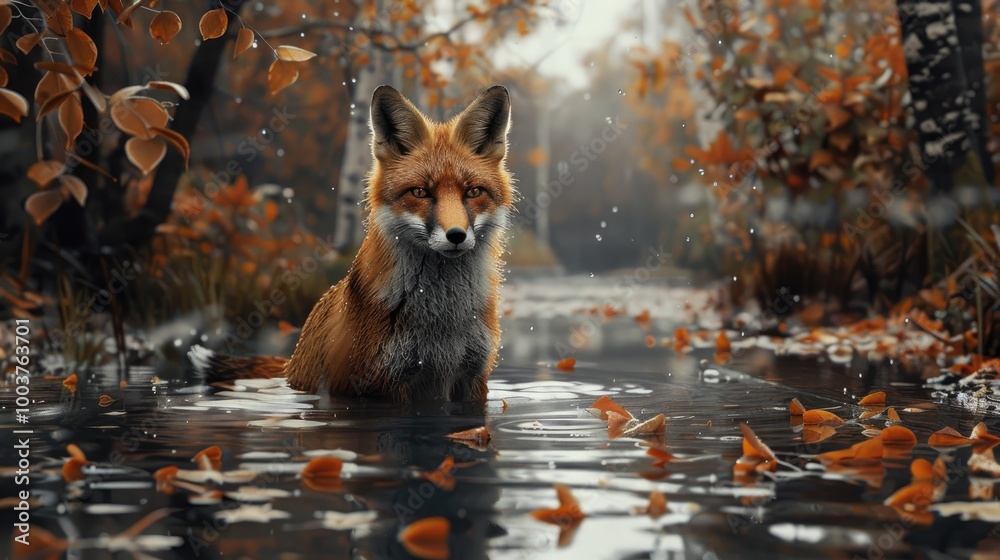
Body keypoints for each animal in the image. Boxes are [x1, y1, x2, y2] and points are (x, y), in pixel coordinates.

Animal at [189, 85, 515, 403]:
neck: (442, 323)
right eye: (420, 192)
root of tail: (292, 358)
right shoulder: (382, 385)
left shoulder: (473, 379)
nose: (456, 235)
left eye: (473, 192)